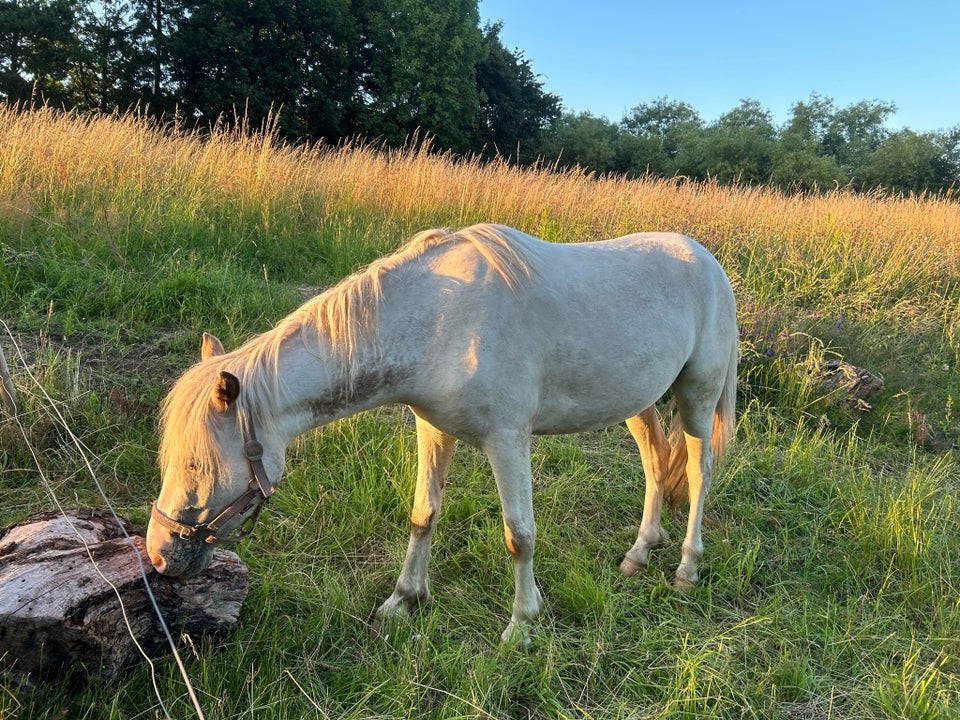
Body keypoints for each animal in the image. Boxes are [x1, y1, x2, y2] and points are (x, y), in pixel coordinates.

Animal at [146, 224, 740, 640]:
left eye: (197, 464)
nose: (157, 554)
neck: (440, 320)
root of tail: (708, 260)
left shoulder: (507, 441)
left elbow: (519, 535)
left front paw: (522, 626)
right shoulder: (433, 430)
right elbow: (422, 516)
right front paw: (403, 602)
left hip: (698, 396)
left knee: (698, 471)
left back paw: (687, 567)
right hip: (637, 403)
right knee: (654, 462)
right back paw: (640, 553)